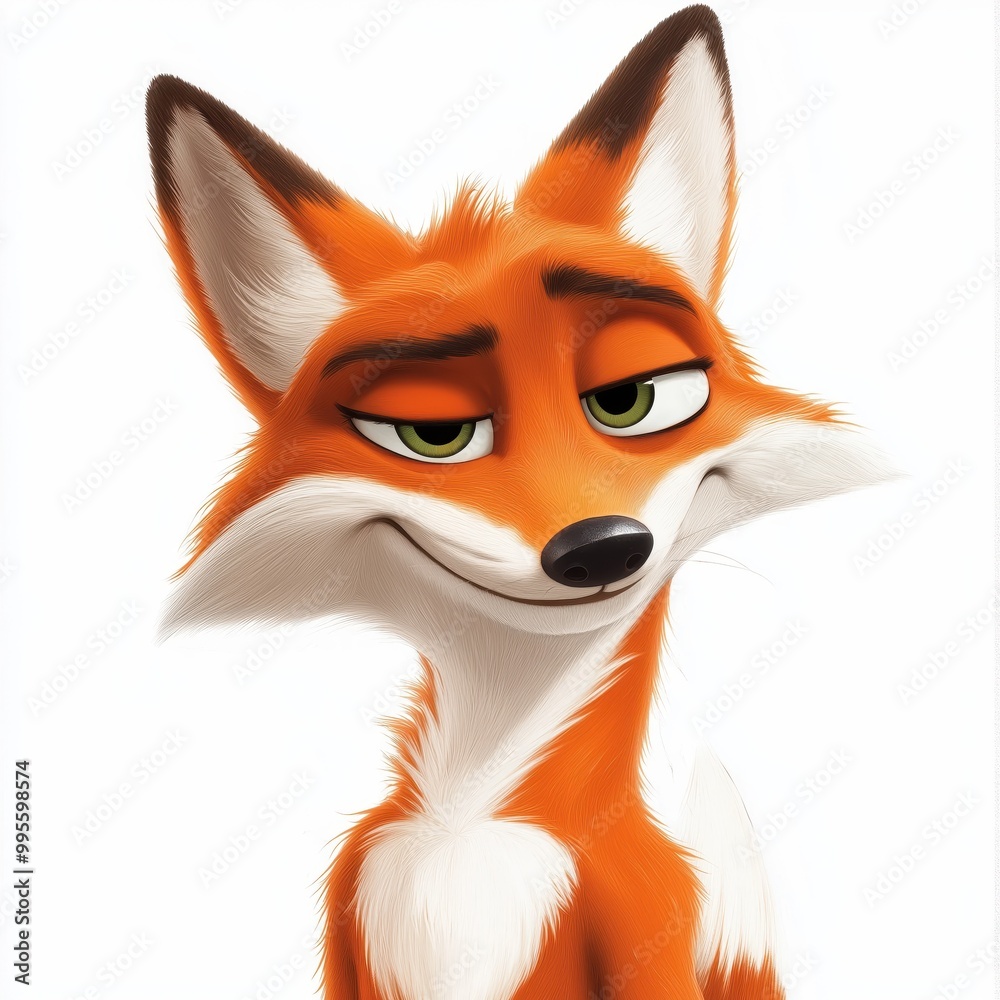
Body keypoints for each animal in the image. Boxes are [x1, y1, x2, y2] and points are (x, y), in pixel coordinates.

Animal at [147, 6, 888, 999]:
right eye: (434, 433)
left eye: (630, 398)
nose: (602, 545)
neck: (474, 818)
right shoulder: (350, 922)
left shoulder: (651, 925)